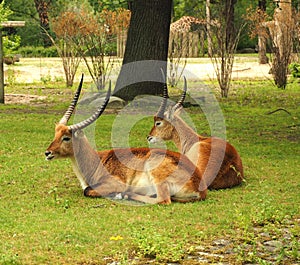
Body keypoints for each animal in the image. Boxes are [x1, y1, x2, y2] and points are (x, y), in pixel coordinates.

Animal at [45, 76, 209, 204]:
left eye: (66, 137)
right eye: (55, 134)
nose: (47, 153)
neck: (97, 161)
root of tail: (200, 186)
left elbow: (87, 190)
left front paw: (117, 194)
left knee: (163, 200)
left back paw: (126, 195)